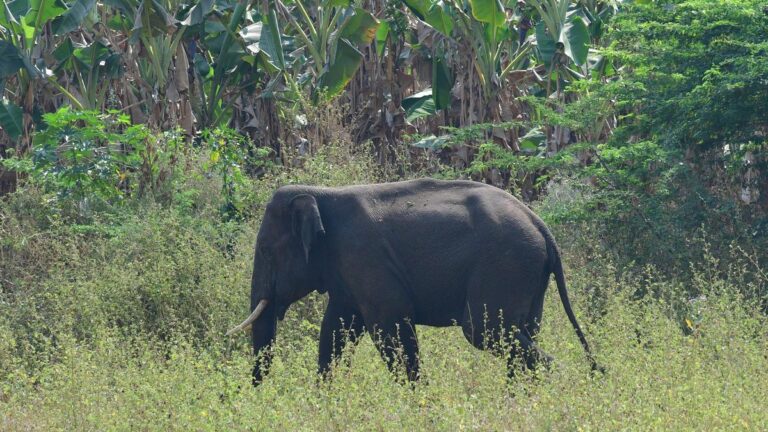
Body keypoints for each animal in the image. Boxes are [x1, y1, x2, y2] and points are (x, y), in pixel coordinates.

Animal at [228, 179, 600, 384]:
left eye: (265, 250)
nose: (254, 391)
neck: (321, 193)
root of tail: (541, 226)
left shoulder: (363, 256)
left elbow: (389, 326)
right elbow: (336, 330)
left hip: (506, 265)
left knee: (484, 331)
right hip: (527, 277)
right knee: (519, 334)